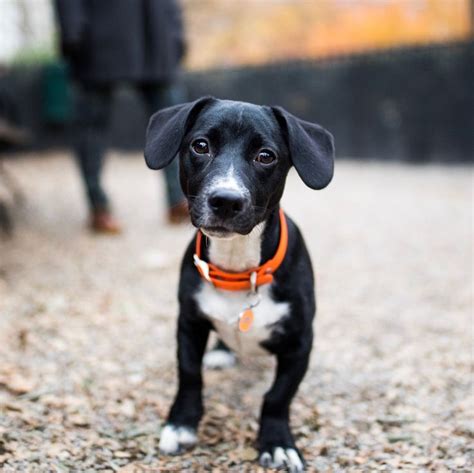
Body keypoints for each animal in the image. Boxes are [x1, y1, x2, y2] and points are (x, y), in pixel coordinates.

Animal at [144, 97, 334, 470]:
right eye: (200, 146)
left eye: (266, 156)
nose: (226, 200)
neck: (237, 268)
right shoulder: (188, 323)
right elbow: (189, 374)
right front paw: (182, 424)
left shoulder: (300, 344)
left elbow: (277, 396)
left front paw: (277, 442)